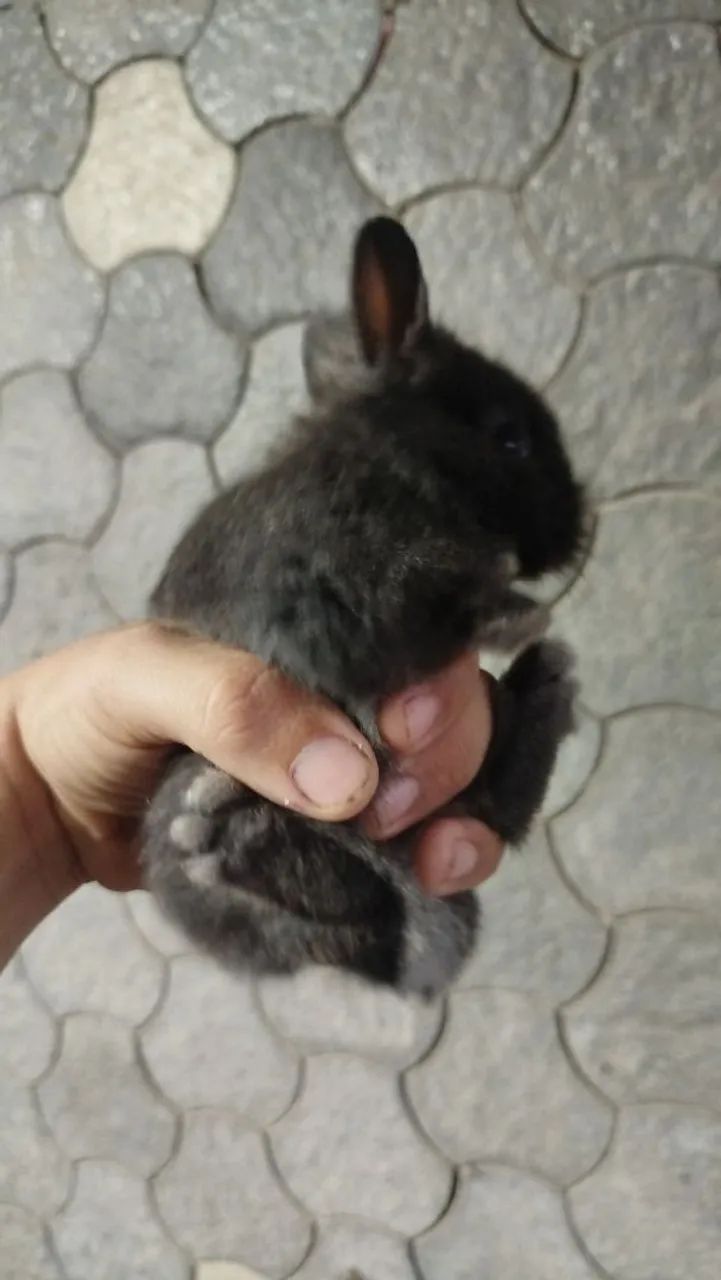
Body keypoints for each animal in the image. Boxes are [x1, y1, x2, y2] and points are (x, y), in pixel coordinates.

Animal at [142, 217, 586, 998]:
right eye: (510, 437)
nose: (579, 525)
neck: (387, 450)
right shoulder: (354, 587)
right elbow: (440, 604)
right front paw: (523, 610)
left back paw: (546, 684)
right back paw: (222, 838)